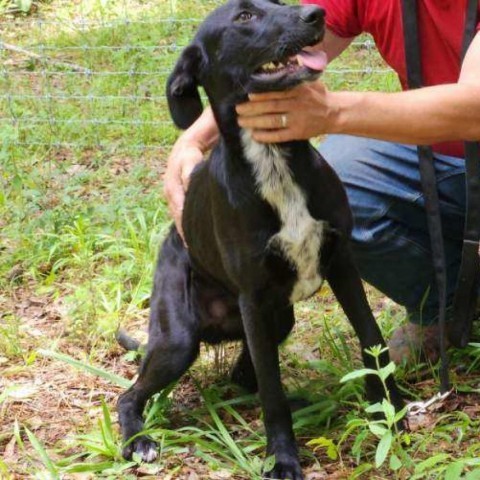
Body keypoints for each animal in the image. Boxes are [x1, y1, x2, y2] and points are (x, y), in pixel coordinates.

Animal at [118, 1, 404, 478]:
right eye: (245, 17)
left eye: (279, 4)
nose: (316, 14)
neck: (272, 161)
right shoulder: (252, 297)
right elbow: (271, 392)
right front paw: (283, 458)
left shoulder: (342, 262)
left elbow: (371, 337)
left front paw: (391, 411)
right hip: (179, 339)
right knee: (129, 393)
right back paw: (137, 441)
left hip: (278, 318)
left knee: (242, 376)